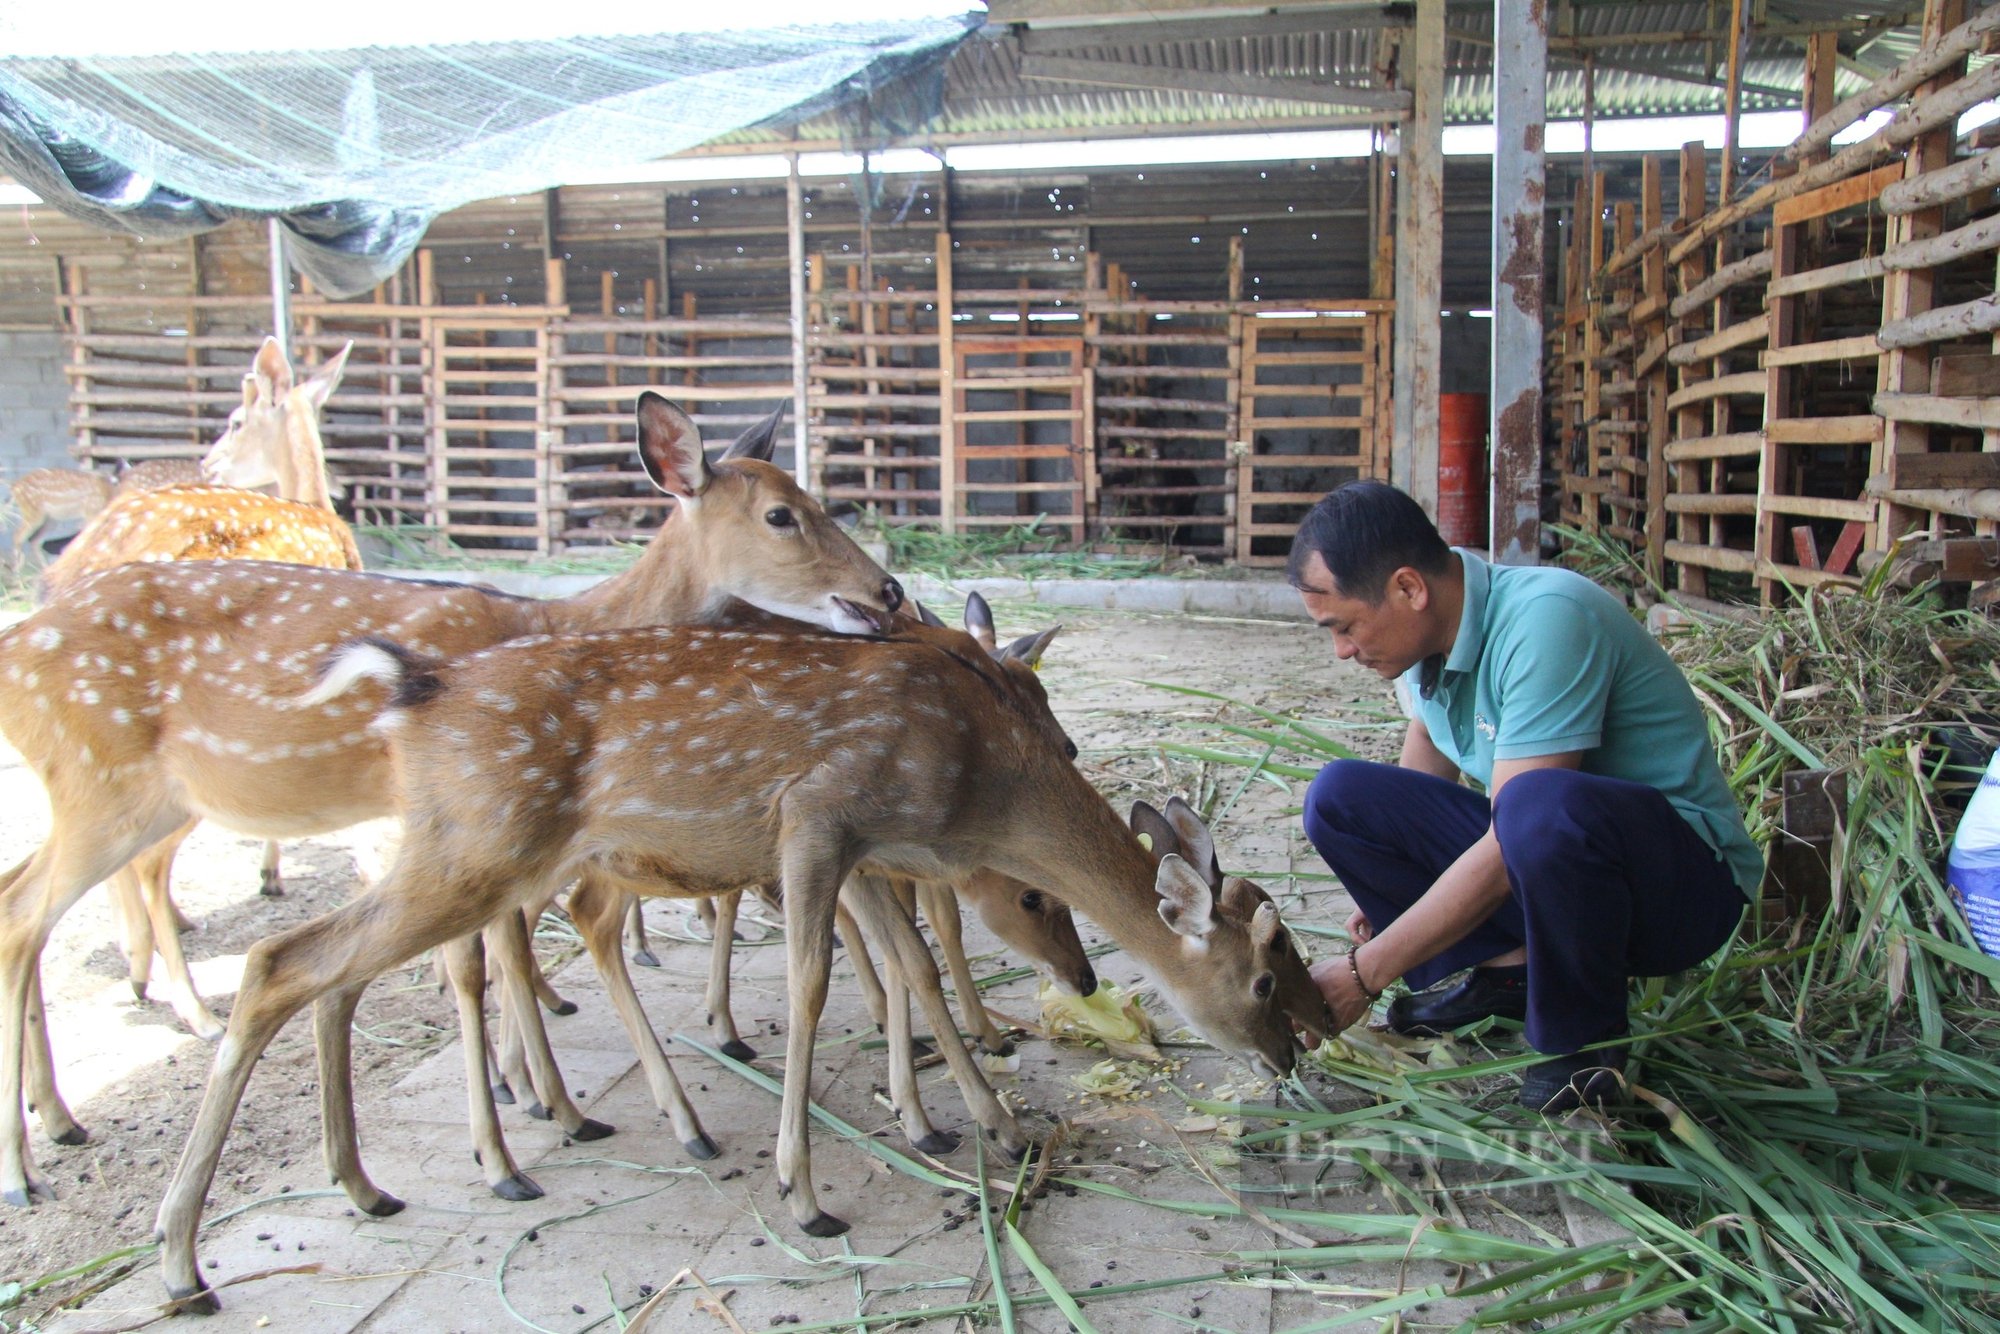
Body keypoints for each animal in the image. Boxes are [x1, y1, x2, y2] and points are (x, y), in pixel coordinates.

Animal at [0, 388, 900, 1208]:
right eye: (782, 515)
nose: (888, 590)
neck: (567, 617)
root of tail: (20, 638)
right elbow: (480, 961)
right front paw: (515, 1134)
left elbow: (500, 949)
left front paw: (543, 1100)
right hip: (105, 785)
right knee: (30, 913)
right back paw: (36, 1161)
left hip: (131, 799)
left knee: (34, 897)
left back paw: (69, 1114)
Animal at [152, 620, 1328, 1312]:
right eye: (1266, 979)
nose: (1297, 1049)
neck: (978, 781)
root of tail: (412, 684)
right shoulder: (817, 814)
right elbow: (816, 985)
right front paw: (805, 1192)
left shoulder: (865, 847)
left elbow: (910, 966)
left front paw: (982, 1121)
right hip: (480, 845)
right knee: (282, 959)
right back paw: (185, 1258)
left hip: (461, 848)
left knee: (330, 968)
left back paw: (366, 1183)